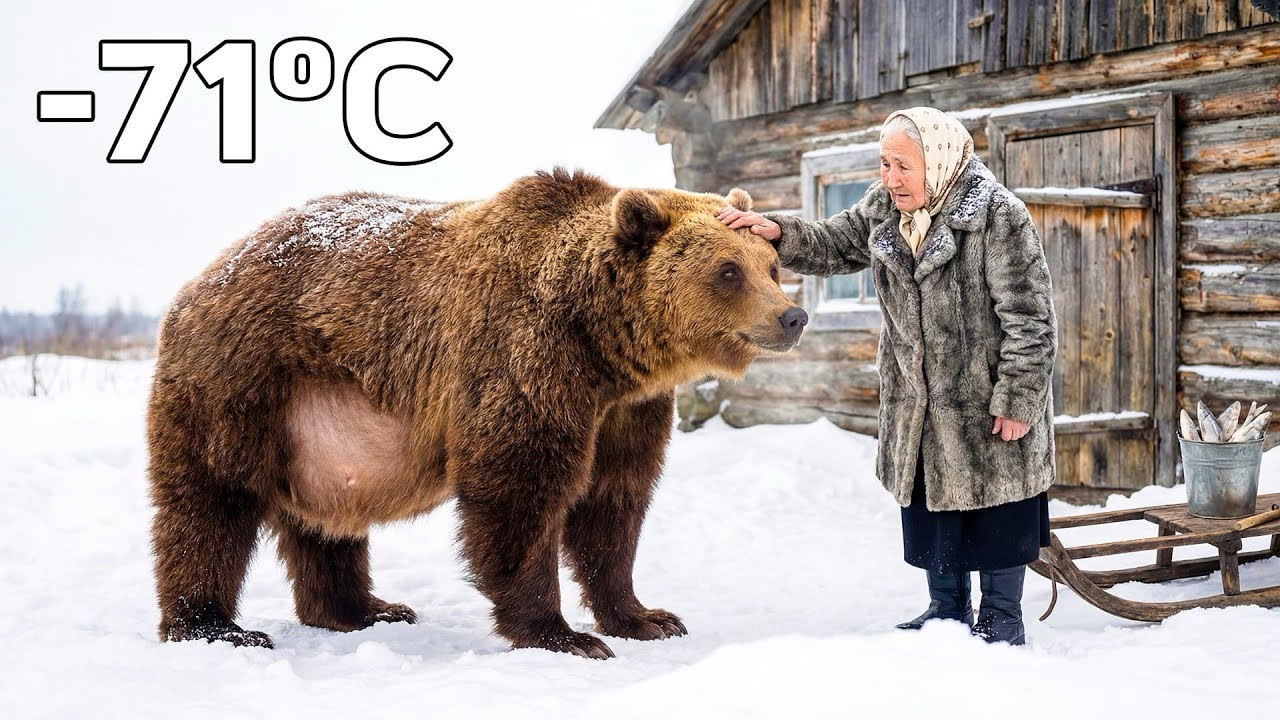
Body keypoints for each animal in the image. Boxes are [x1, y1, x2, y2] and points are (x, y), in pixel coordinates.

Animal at [147, 167, 808, 658]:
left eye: (770, 266)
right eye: (728, 270)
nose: (792, 316)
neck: (602, 342)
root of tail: (200, 280)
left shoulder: (627, 408)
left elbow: (614, 502)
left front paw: (647, 617)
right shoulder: (526, 359)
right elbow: (520, 488)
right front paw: (562, 635)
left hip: (316, 426)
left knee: (326, 520)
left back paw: (366, 609)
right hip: (244, 379)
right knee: (210, 501)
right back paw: (216, 626)